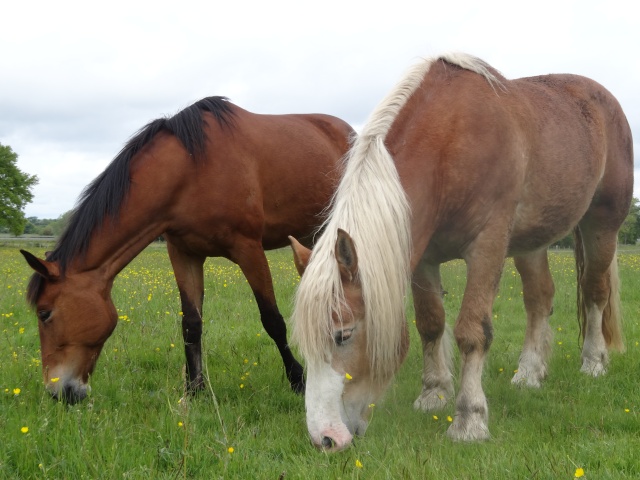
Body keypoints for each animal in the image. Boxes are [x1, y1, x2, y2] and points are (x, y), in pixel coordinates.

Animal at [20, 97, 352, 404]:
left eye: (44, 313)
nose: (57, 392)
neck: (191, 170)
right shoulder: (183, 254)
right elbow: (191, 324)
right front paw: (194, 390)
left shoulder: (249, 249)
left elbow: (272, 320)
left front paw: (298, 381)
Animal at [292, 53, 636, 450]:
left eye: (343, 335)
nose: (325, 439)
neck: (449, 142)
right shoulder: (422, 257)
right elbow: (430, 323)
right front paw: (433, 394)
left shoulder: (487, 247)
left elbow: (472, 331)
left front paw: (469, 420)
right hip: (531, 242)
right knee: (539, 299)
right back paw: (529, 373)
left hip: (601, 227)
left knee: (596, 292)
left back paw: (593, 362)